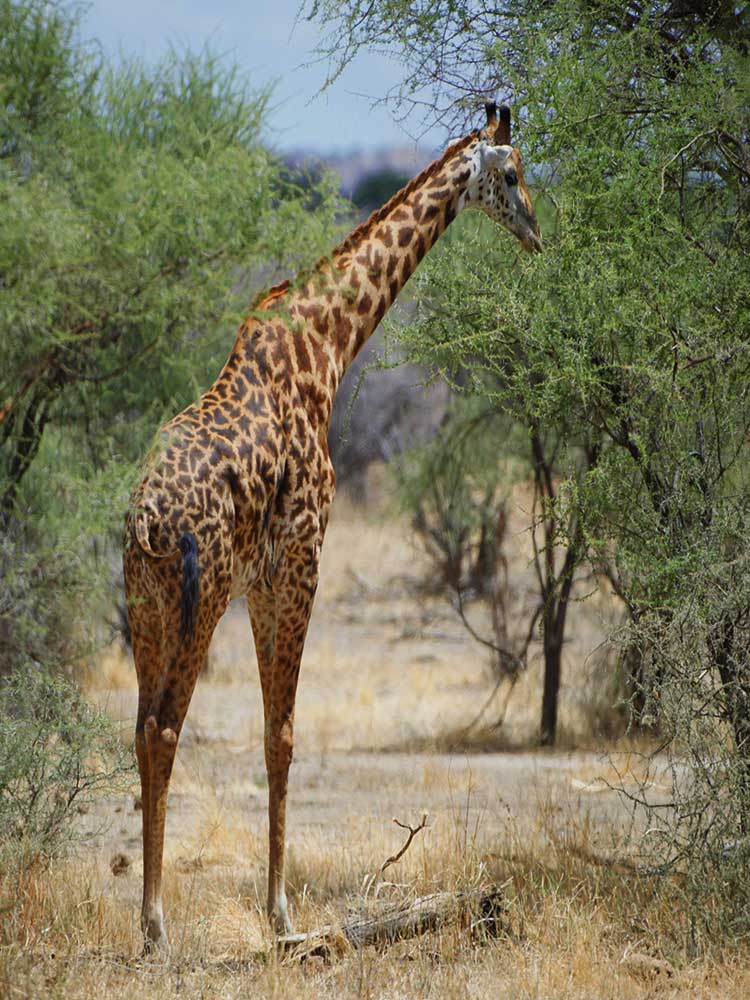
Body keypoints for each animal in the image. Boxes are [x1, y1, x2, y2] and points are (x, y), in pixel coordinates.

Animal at [123, 102, 542, 951]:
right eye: (512, 173)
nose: (536, 234)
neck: (327, 343)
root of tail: (148, 518)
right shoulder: (300, 559)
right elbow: (282, 733)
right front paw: (281, 914)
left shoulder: (263, 577)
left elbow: (271, 730)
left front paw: (276, 906)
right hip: (197, 603)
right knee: (164, 729)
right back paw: (155, 925)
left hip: (148, 604)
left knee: (141, 726)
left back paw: (148, 921)